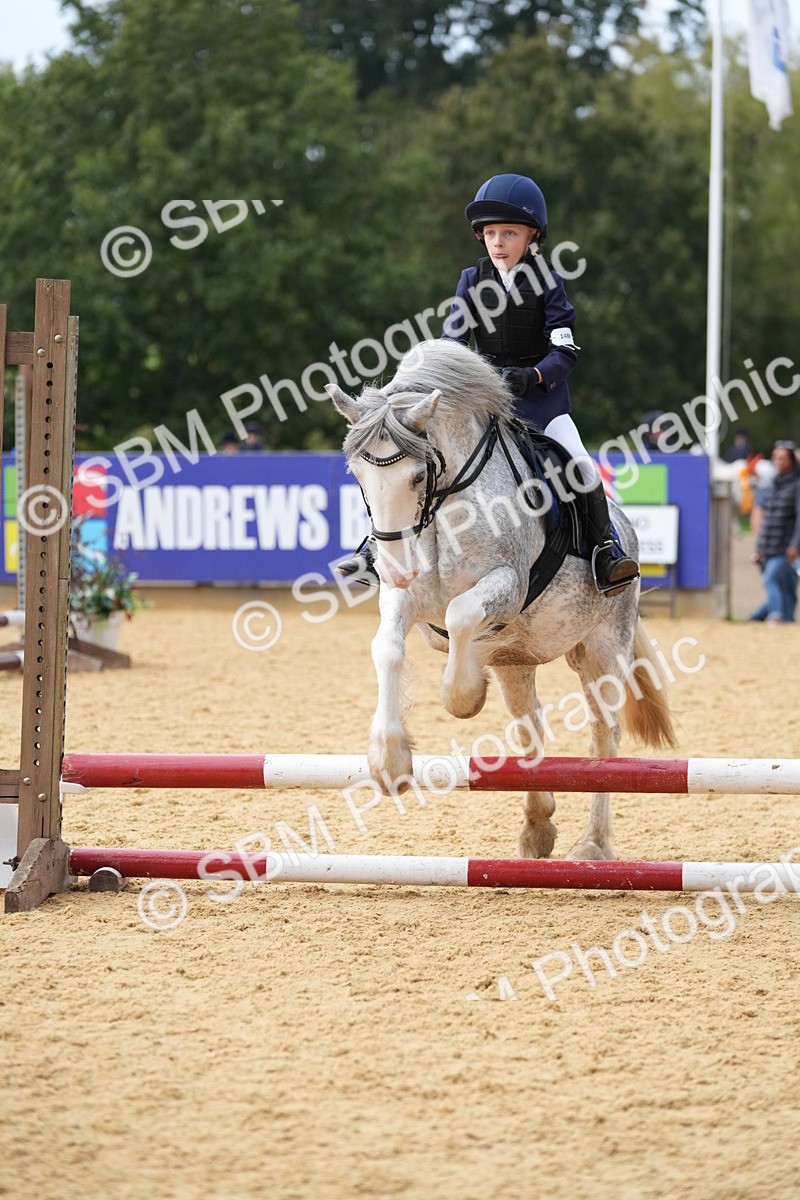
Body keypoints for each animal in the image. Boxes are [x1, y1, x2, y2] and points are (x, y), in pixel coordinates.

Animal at [327, 339, 676, 861]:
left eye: (416, 476)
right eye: (358, 474)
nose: (395, 566)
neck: (445, 506)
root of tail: (627, 530)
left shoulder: (507, 585)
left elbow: (460, 616)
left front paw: (465, 695)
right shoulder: (406, 598)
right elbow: (387, 648)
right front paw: (389, 761)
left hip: (603, 647)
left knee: (603, 735)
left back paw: (593, 846)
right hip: (519, 663)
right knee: (530, 727)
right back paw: (537, 827)